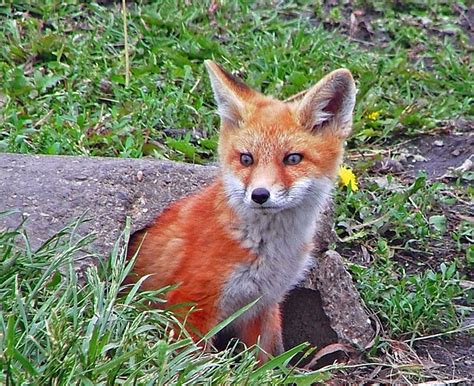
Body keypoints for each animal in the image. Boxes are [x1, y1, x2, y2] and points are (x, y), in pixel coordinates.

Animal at [126, 60, 356, 362]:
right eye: (247, 159)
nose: (259, 195)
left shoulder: (262, 305)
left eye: (293, 159)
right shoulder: (190, 304)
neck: (267, 251)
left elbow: (261, 360)